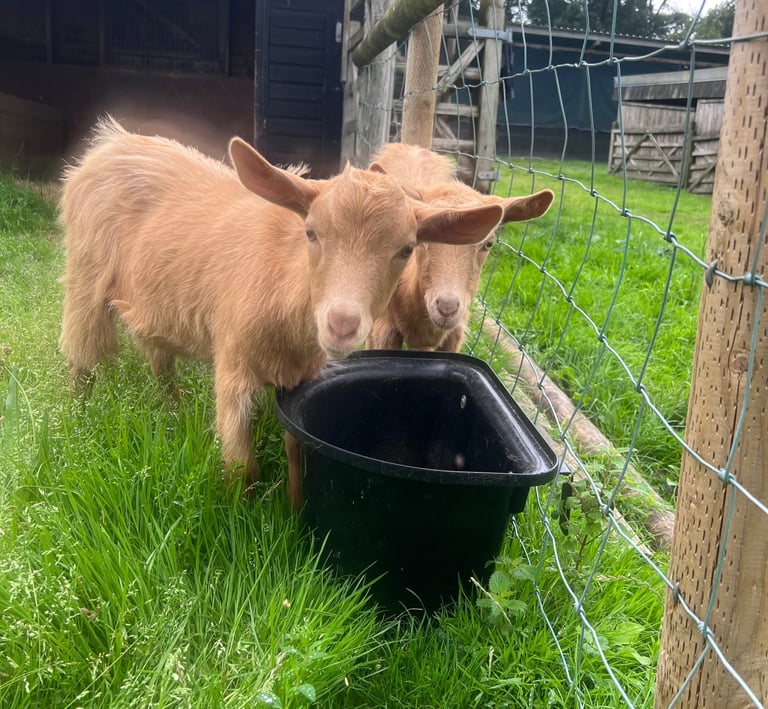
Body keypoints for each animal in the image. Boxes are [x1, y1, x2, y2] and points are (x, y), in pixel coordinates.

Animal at [58, 118, 505, 504]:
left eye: (407, 249)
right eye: (311, 232)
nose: (341, 324)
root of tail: (112, 142)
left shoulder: (299, 382)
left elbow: (296, 452)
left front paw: (293, 510)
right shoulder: (233, 366)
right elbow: (242, 467)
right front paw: (240, 522)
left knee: (159, 359)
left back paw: (174, 411)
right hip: (85, 275)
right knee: (82, 359)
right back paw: (77, 422)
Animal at [367, 143, 554, 352]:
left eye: (489, 243)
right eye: (420, 241)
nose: (447, 308)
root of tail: (412, 146)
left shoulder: (454, 334)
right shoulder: (384, 329)